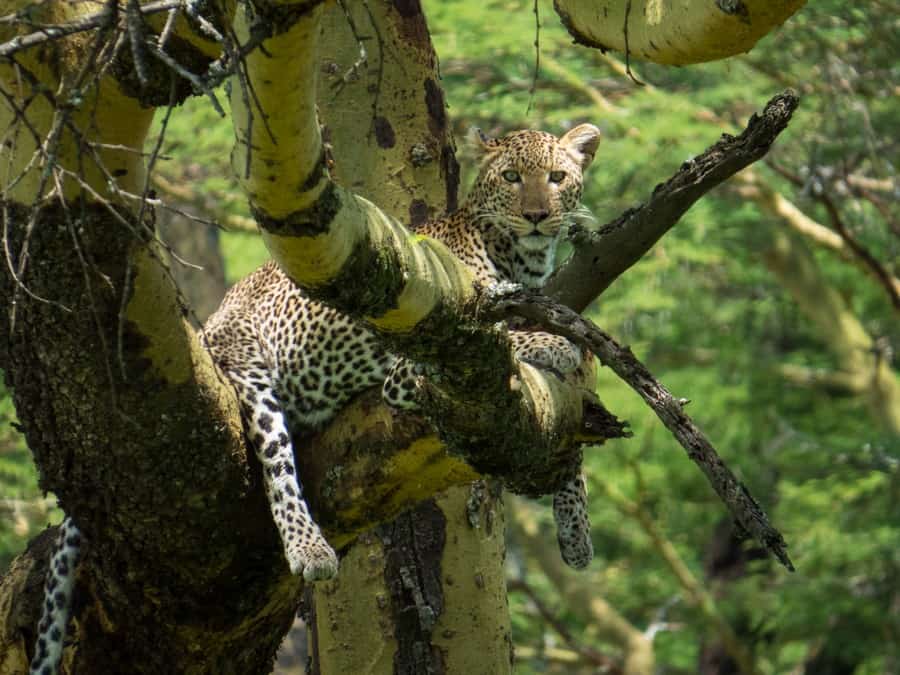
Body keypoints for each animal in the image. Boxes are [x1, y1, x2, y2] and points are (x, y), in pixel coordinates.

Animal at [29, 123, 596, 675]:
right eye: (512, 177)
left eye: (556, 177)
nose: (537, 217)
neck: (522, 260)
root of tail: (208, 324)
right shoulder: (412, 368)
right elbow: (514, 341)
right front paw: (554, 344)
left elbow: (568, 436)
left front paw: (576, 533)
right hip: (249, 370)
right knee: (279, 471)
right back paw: (310, 548)